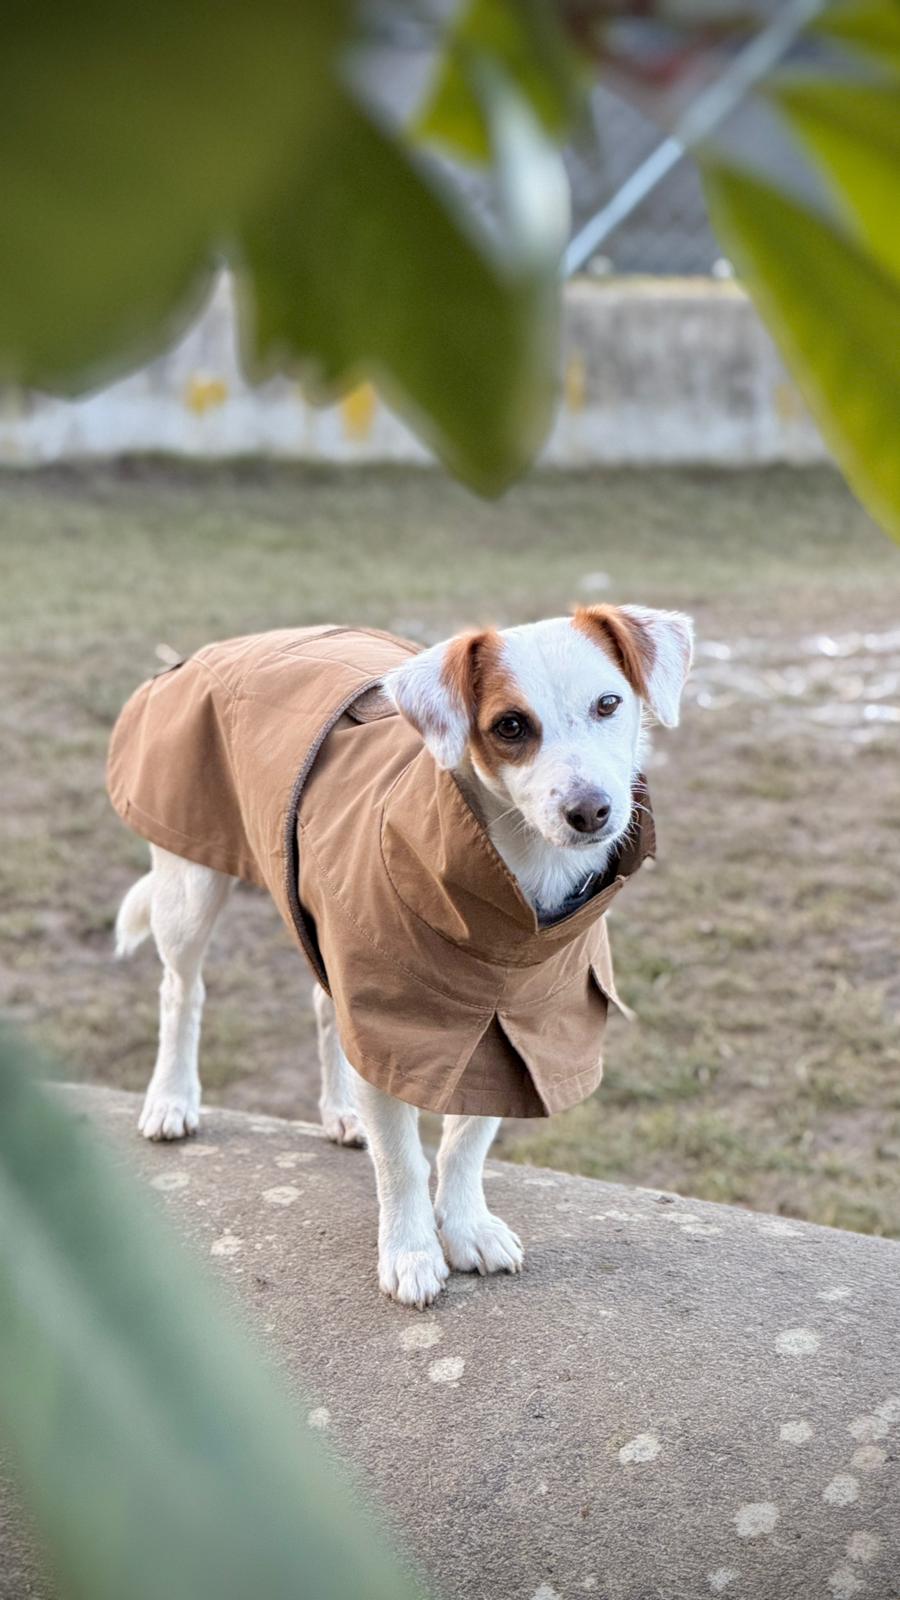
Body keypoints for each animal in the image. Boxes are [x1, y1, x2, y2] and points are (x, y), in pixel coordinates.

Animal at [112, 605, 692, 1308]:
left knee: (324, 1008)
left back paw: (339, 1111)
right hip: (189, 883)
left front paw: (467, 1226)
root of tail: (234, 643)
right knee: (182, 991)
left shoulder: (516, 1027)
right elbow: (400, 1160)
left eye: (609, 703)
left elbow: (467, 1141)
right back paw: (172, 1099)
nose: (592, 812)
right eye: (510, 726)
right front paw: (412, 1250)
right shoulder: (393, 1025)